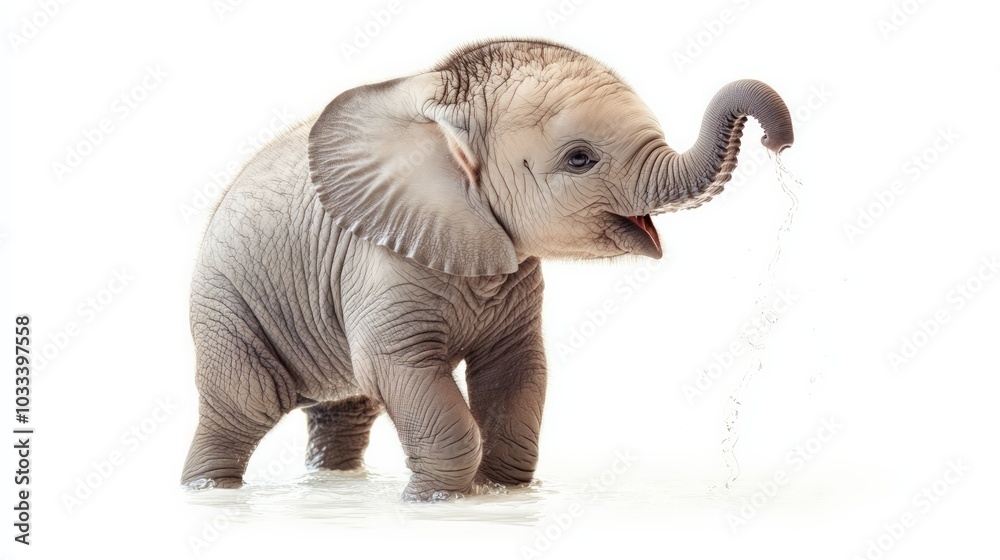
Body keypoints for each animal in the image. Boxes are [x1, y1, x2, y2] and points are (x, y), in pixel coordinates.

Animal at [180, 38, 794, 500]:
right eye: (580, 159)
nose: (776, 140)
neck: (443, 110)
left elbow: (517, 369)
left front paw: (502, 494)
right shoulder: (379, 261)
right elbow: (399, 366)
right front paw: (438, 501)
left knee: (347, 409)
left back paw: (333, 483)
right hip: (225, 297)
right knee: (245, 402)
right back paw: (208, 491)